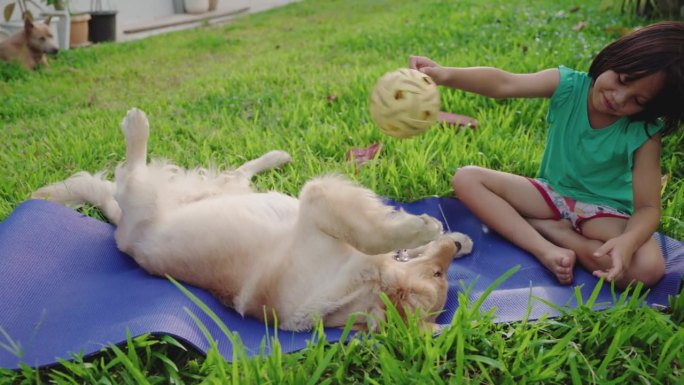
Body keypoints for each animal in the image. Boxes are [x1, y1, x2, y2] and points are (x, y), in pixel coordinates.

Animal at [34, 108, 472, 330]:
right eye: (438, 274)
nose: (453, 247)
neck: (361, 287)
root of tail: (121, 227)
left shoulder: (316, 203)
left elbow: (368, 230)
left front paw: (438, 233)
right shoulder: (316, 207)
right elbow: (370, 232)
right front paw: (432, 231)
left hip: (146, 195)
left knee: (132, 171)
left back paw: (137, 125)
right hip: (197, 192)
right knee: (212, 171)